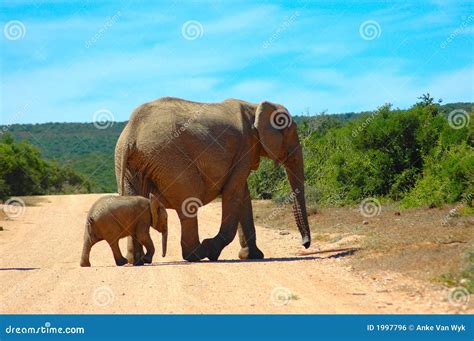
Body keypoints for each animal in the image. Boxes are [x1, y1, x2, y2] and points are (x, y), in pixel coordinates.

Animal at [115, 97, 312, 262]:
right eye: (292, 132)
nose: (305, 244)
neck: (255, 107)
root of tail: (131, 134)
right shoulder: (245, 147)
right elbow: (234, 191)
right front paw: (212, 251)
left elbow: (243, 194)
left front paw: (253, 256)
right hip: (170, 159)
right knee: (189, 199)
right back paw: (197, 254)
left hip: (131, 164)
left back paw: (136, 260)